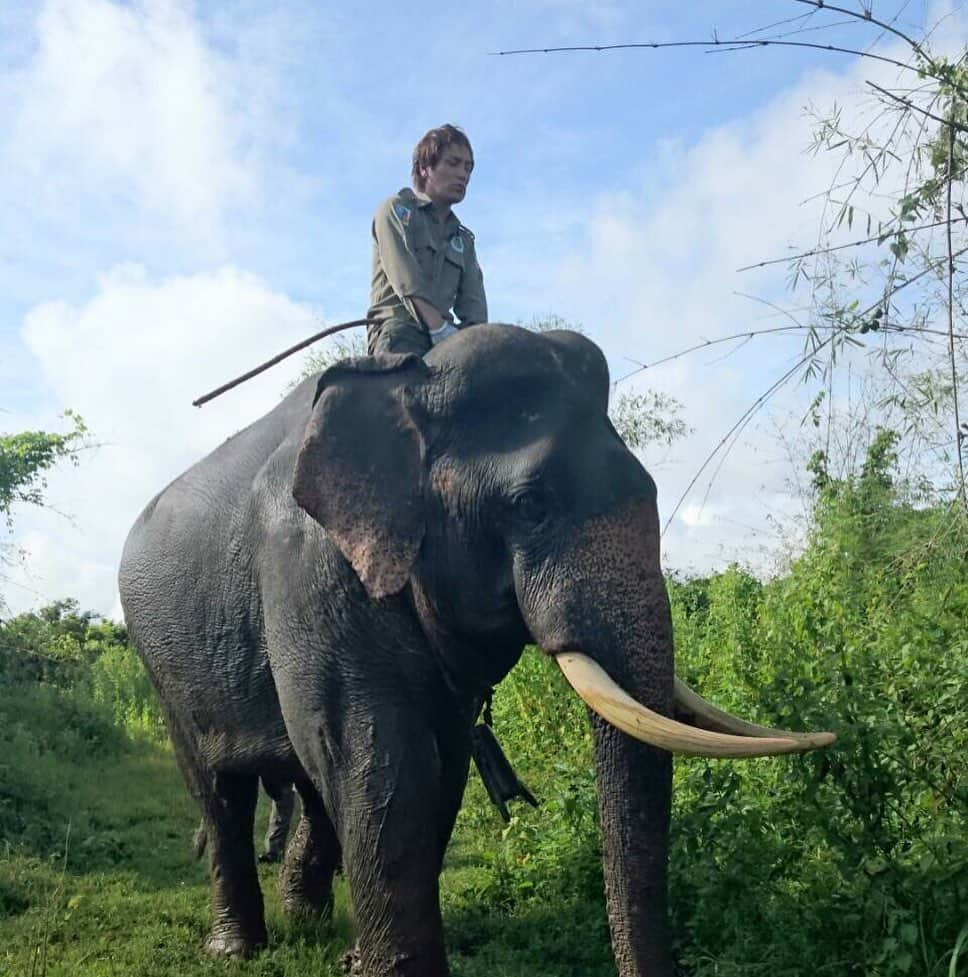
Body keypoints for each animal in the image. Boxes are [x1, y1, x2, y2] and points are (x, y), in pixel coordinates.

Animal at [121, 326, 832, 976]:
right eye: (531, 504)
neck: (411, 380)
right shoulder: (308, 571)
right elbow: (378, 756)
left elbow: (441, 766)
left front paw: (357, 961)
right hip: (161, 663)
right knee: (220, 791)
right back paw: (236, 947)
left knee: (308, 780)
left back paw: (308, 923)